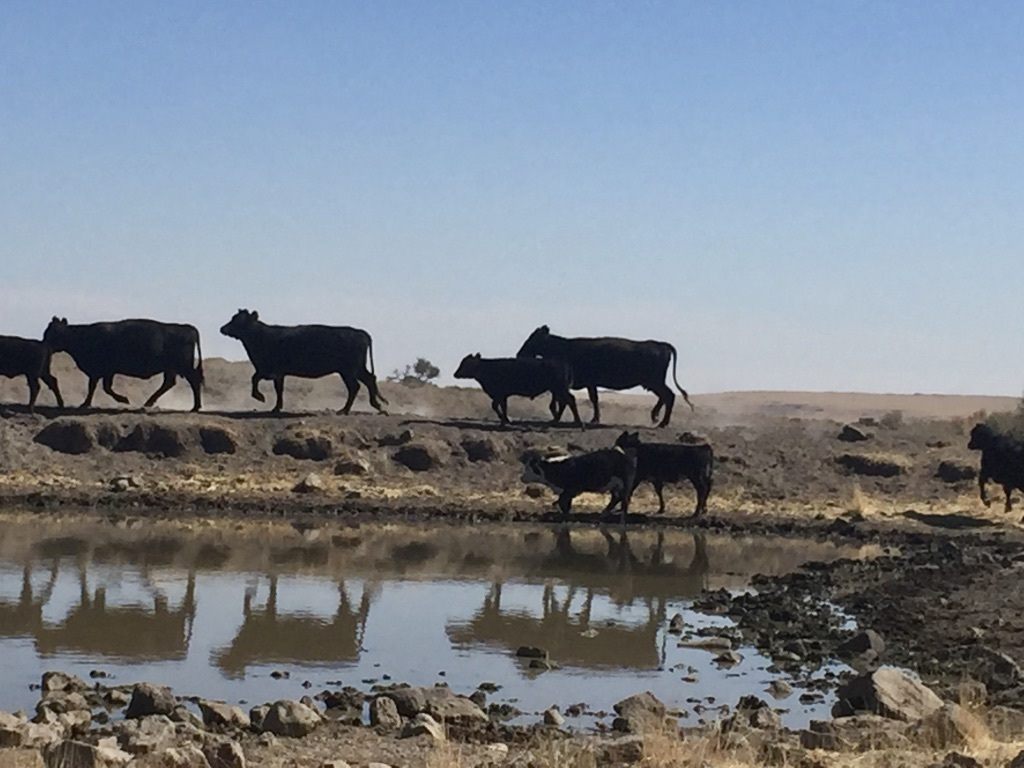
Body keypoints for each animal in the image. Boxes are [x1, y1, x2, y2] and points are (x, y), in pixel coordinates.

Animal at [44, 319, 203, 415]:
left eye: (51, 333)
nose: (43, 343)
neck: (82, 335)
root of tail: (188, 328)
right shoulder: (101, 372)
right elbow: (97, 387)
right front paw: (86, 403)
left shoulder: (104, 371)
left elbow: (102, 388)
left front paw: (123, 399)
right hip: (171, 369)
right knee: (169, 383)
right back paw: (149, 402)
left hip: (183, 367)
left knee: (194, 380)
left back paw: (195, 407)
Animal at [220, 309, 387, 415]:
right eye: (233, 318)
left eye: (239, 321)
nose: (223, 328)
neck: (260, 337)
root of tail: (361, 332)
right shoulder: (277, 373)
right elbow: (278, 389)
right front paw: (276, 407)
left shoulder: (270, 370)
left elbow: (255, 379)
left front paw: (260, 397)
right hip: (357, 368)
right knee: (369, 379)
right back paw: (378, 406)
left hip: (348, 370)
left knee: (355, 386)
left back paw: (344, 410)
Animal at [452, 354, 581, 428]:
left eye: (465, 363)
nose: (455, 374)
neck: (486, 368)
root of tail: (564, 364)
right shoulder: (502, 395)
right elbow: (501, 406)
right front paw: (505, 420)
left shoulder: (499, 393)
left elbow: (496, 405)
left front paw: (506, 420)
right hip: (557, 389)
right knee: (564, 402)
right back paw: (556, 420)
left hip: (560, 388)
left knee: (570, 400)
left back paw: (577, 422)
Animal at [516, 325, 692, 430]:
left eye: (532, 338)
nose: (519, 354)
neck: (564, 348)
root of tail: (661, 344)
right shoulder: (585, 383)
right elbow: (587, 399)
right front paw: (594, 418)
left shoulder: (582, 382)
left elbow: (584, 399)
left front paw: (593, 419)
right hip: (653, 382)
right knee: (666, 396)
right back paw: (656, 417)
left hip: (654, 381)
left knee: (669, 395)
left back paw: (662, 421)